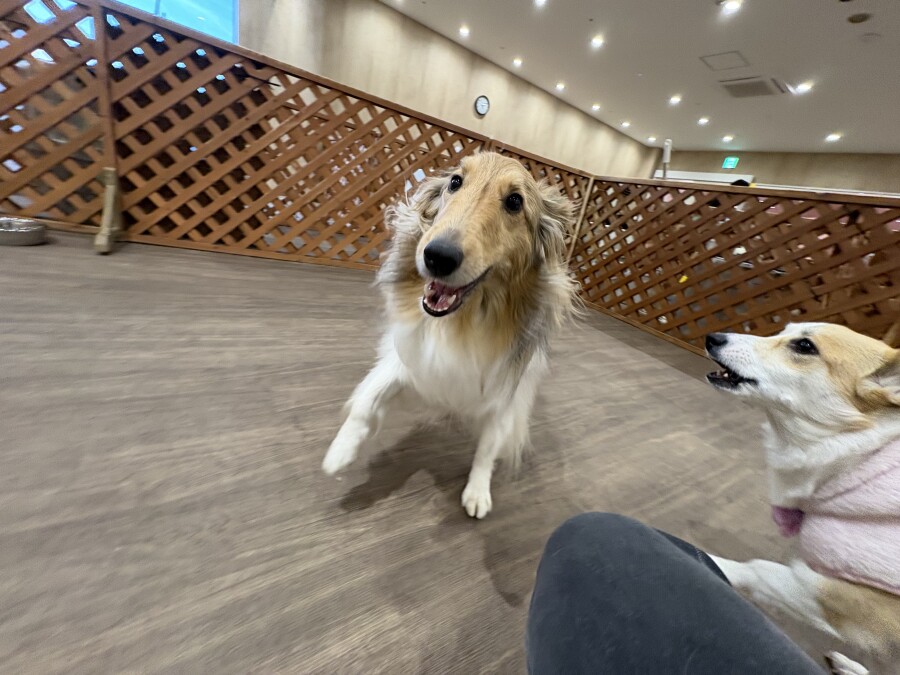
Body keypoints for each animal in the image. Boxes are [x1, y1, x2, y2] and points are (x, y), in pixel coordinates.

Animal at [321, 151, 579, 518]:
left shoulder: (503, 392)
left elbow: (487, 448)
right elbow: (366, 401)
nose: (437, 256)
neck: (464, 321)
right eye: (455, 182)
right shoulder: (411, 358)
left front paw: (477, 492)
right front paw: (340, 452)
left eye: (515, 201)